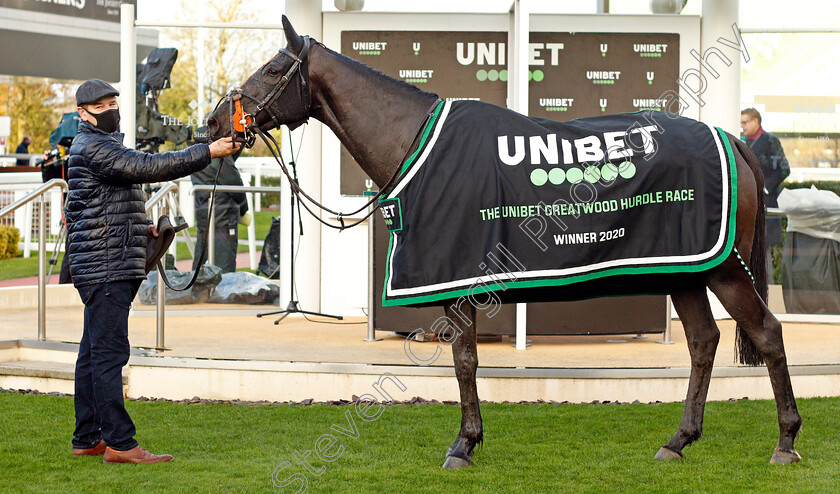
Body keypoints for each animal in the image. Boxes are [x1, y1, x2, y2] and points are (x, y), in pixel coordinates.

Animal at [207, 15, 804, 466]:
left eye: (273, 68)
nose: (215, 121)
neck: (415, 142)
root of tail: (728, 137)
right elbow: (466, 360)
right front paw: (469, 440)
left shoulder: (459, 280)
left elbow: (464, 360)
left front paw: (462, 446)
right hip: (685, 267)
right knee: (703, 342)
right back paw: (678, 441)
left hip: (723, 269)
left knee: (768, 332)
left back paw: (785, 442)